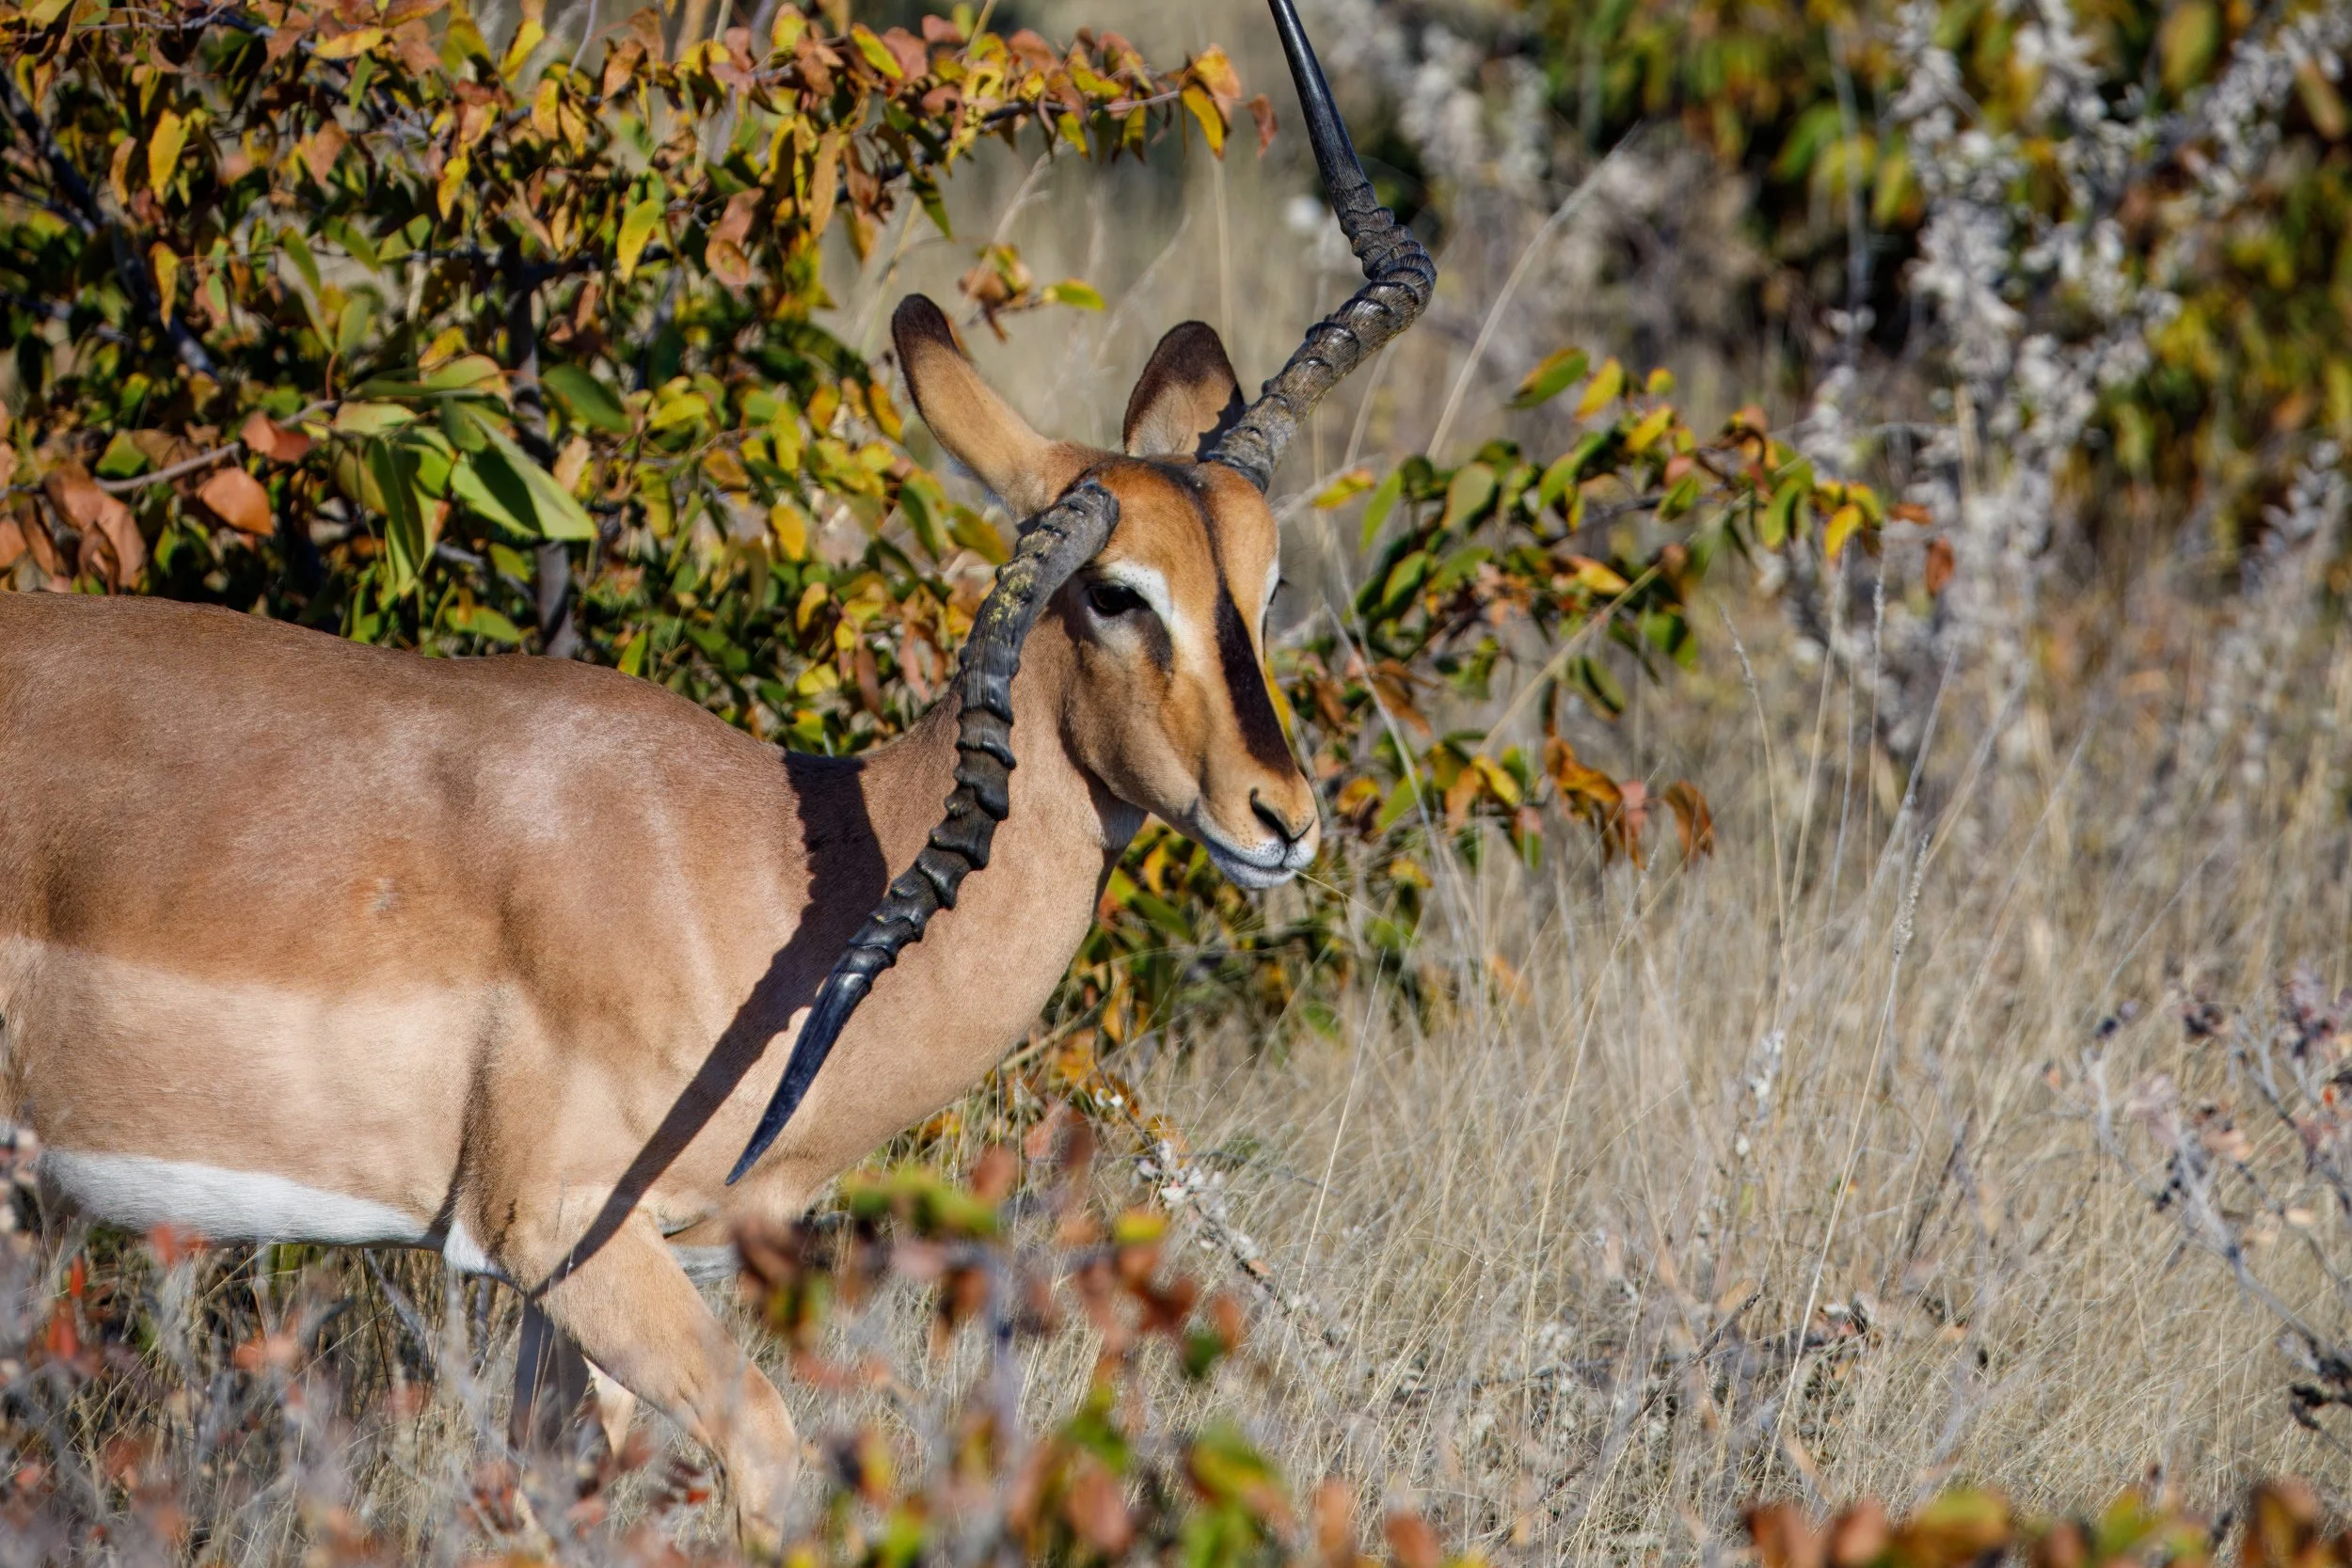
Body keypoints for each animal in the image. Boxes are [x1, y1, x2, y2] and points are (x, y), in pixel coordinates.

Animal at [0, 0, 1430, 1539]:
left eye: (1263, 584)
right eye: (1115, 592)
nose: (1281, 818)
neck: (777, 865)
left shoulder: (600, 1286)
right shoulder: (560, 1235)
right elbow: (765, 1446)